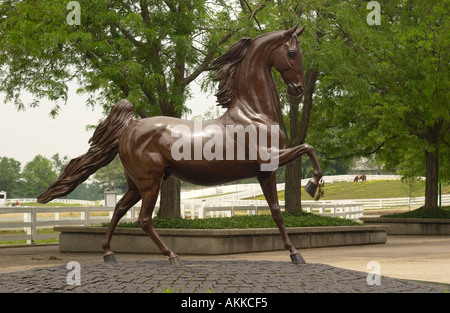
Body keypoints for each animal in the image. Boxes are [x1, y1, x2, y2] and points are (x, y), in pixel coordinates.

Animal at [37, 24, 322, 264]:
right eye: (292, 53)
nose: (298, 89)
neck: (253, 114)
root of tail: (130, 126)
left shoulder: (265, 172)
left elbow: (276, 211)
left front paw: (295, 253)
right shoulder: (269, 158)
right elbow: (307, 148)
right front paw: (312, 188)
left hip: (136, 185)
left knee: (118, 209)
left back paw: (109, 254)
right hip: (150, 183)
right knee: (143, 220)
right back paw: (173, 256)